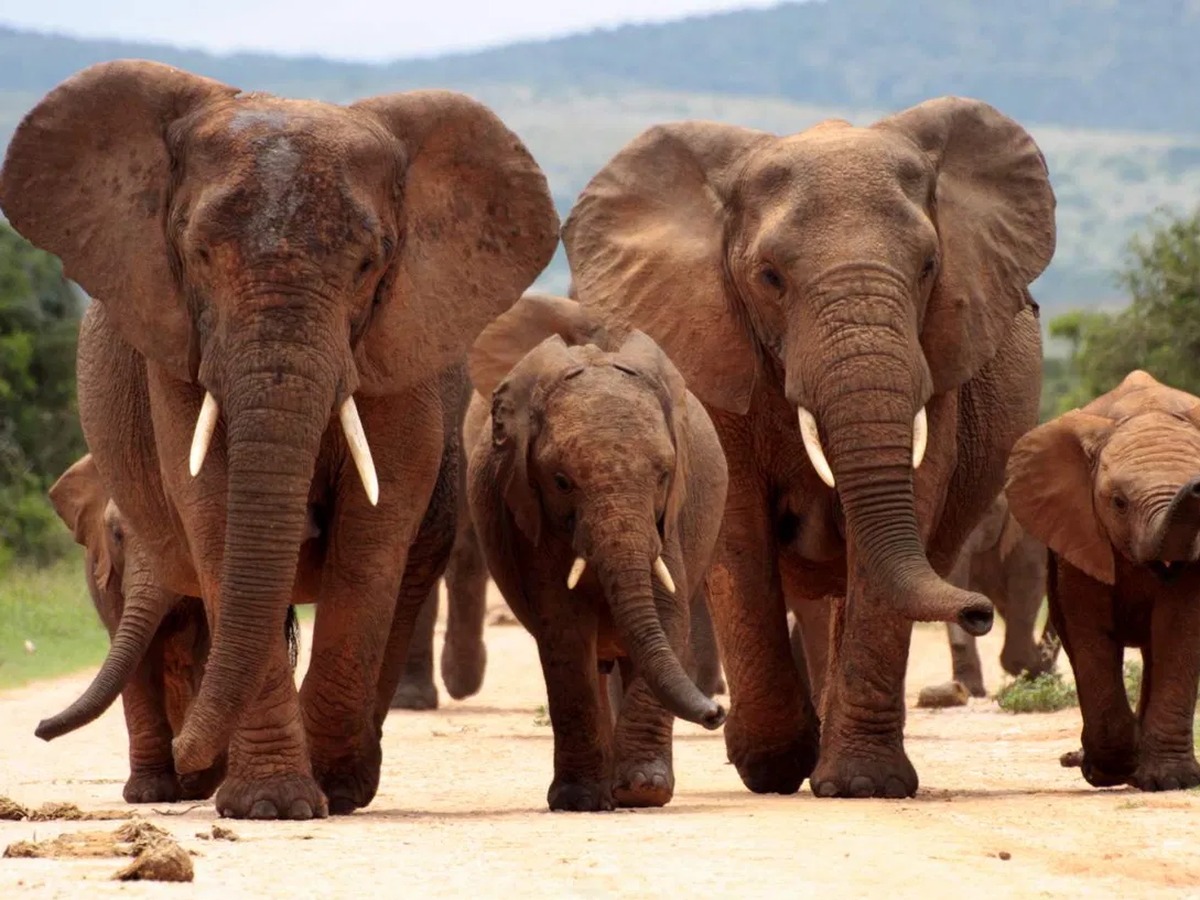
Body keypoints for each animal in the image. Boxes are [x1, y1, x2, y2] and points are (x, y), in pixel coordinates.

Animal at [0, 60, 559, 819]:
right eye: (199, 254)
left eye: (368, 265)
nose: (190, 755)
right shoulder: (177, 342)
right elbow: (212, 513)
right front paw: (270, 805)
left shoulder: (399, 345)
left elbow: (373, 534)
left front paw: (323, 790)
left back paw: (343, 780)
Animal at [465, 293, 729, 811]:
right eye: (561, 481)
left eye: (664, 475)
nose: (717, 711)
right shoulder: (529, 513)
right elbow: (564, 628)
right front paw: (580, 799)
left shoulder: (670, 518)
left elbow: (668, 613)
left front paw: (644, 791)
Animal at [561, 96, 1056, 798]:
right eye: (769, 277)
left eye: (929, 267)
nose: (979, 611)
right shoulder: (711, 346)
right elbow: (738, 527)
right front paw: (771, 765)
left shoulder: (939, 361)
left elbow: (907, 505)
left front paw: (862, 785)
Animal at [1006, 370, 1200, 792]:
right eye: (1118, 503)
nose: (1195, 484)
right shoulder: (1077, 529)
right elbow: (1089, 632)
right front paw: (1110, 771)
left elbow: (1179, 629)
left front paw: (1169, 780)